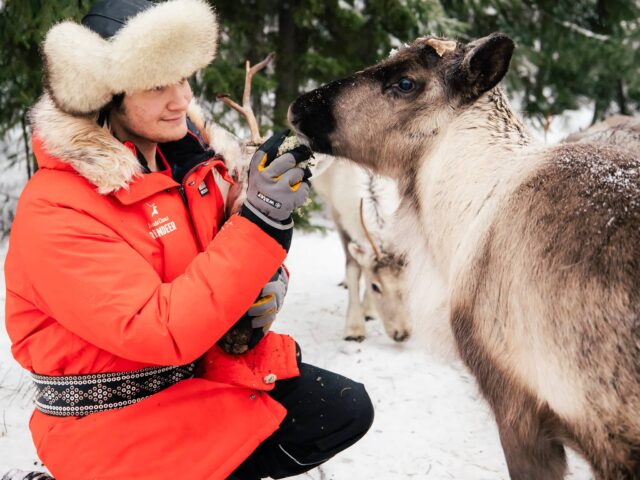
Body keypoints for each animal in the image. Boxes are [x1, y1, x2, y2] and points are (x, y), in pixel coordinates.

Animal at [312, 160, 412, 342]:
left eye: (409, 285)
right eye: (375, 287)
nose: (402, 334)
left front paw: (368, 311)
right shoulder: (339, 215)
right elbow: (353, 269)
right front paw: (354, 330)